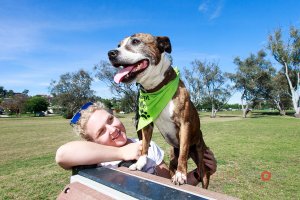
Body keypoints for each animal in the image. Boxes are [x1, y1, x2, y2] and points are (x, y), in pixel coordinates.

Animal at [107, 32, 209, 188]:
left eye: (135, 41)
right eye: (119, 45)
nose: (111, 53)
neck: (156, 88)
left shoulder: (184, 124)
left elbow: (183, 151)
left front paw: (181, 174)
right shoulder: (146, 124)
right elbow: (144, 145)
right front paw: (140, 163)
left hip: (200, 160)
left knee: (201, 172)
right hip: (173, 157)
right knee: (172, 165)